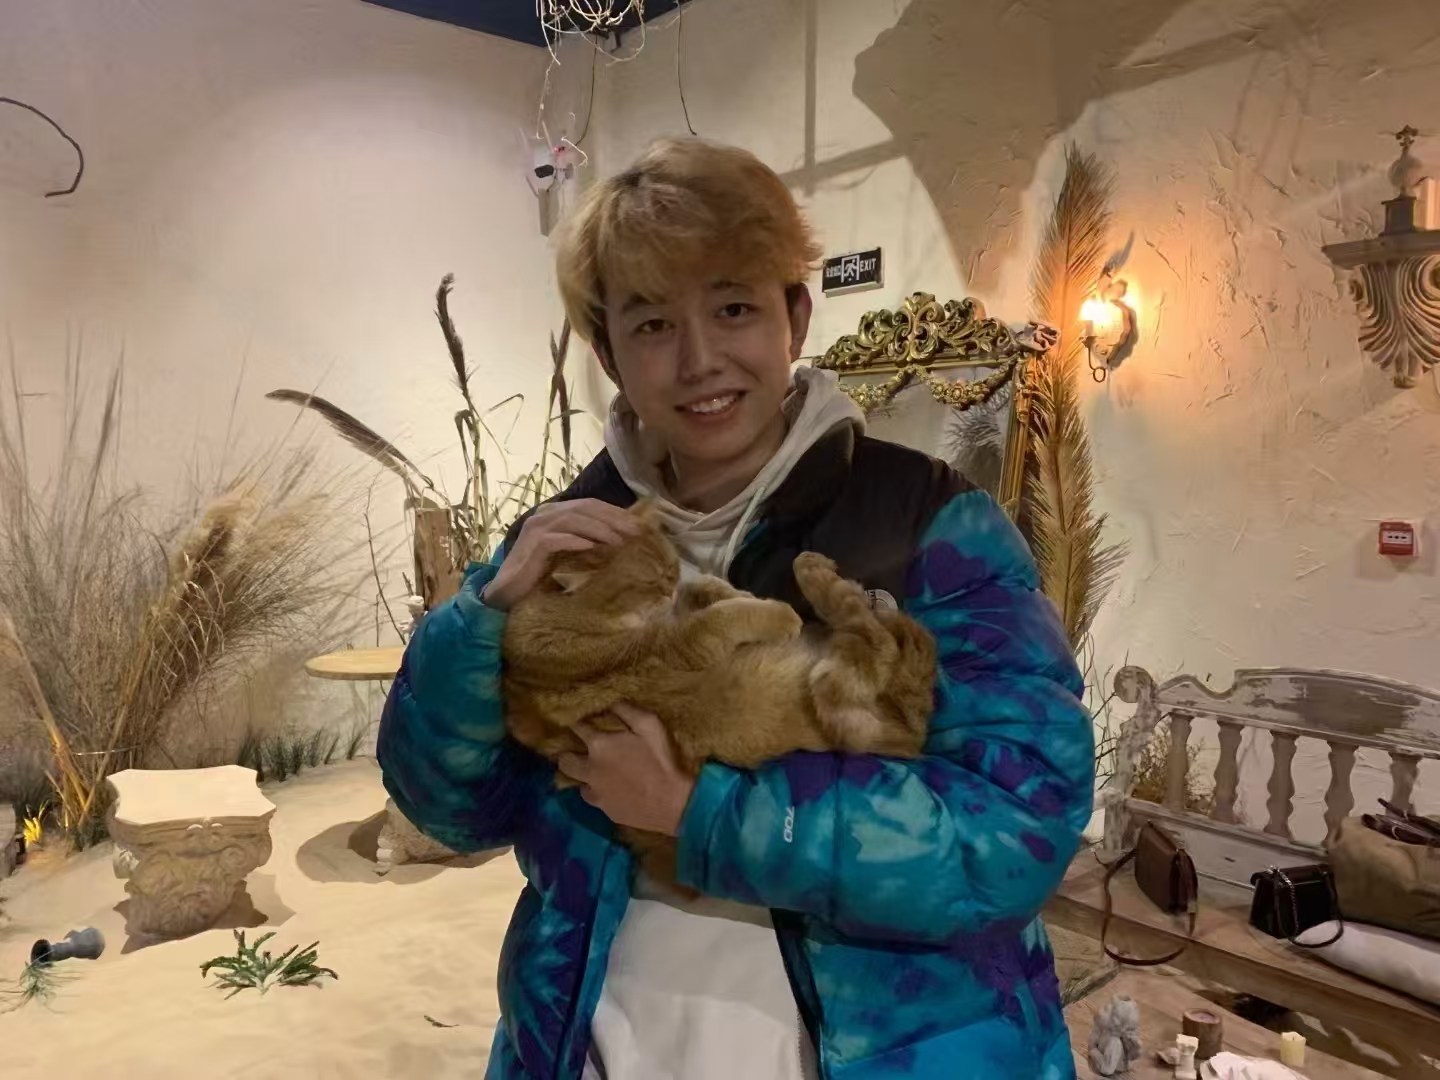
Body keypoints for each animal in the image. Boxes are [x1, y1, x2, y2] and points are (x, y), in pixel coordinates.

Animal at [501, 503, 936, 885]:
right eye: (649, 581)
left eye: (672, 568)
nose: (670, 587)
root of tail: (910, 737)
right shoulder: (671, 648)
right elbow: (725, 618)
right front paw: (776, 613)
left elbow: (710, 590)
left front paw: (729, 590)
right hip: (851, 686)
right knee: (873, 635)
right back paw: (817, 574)